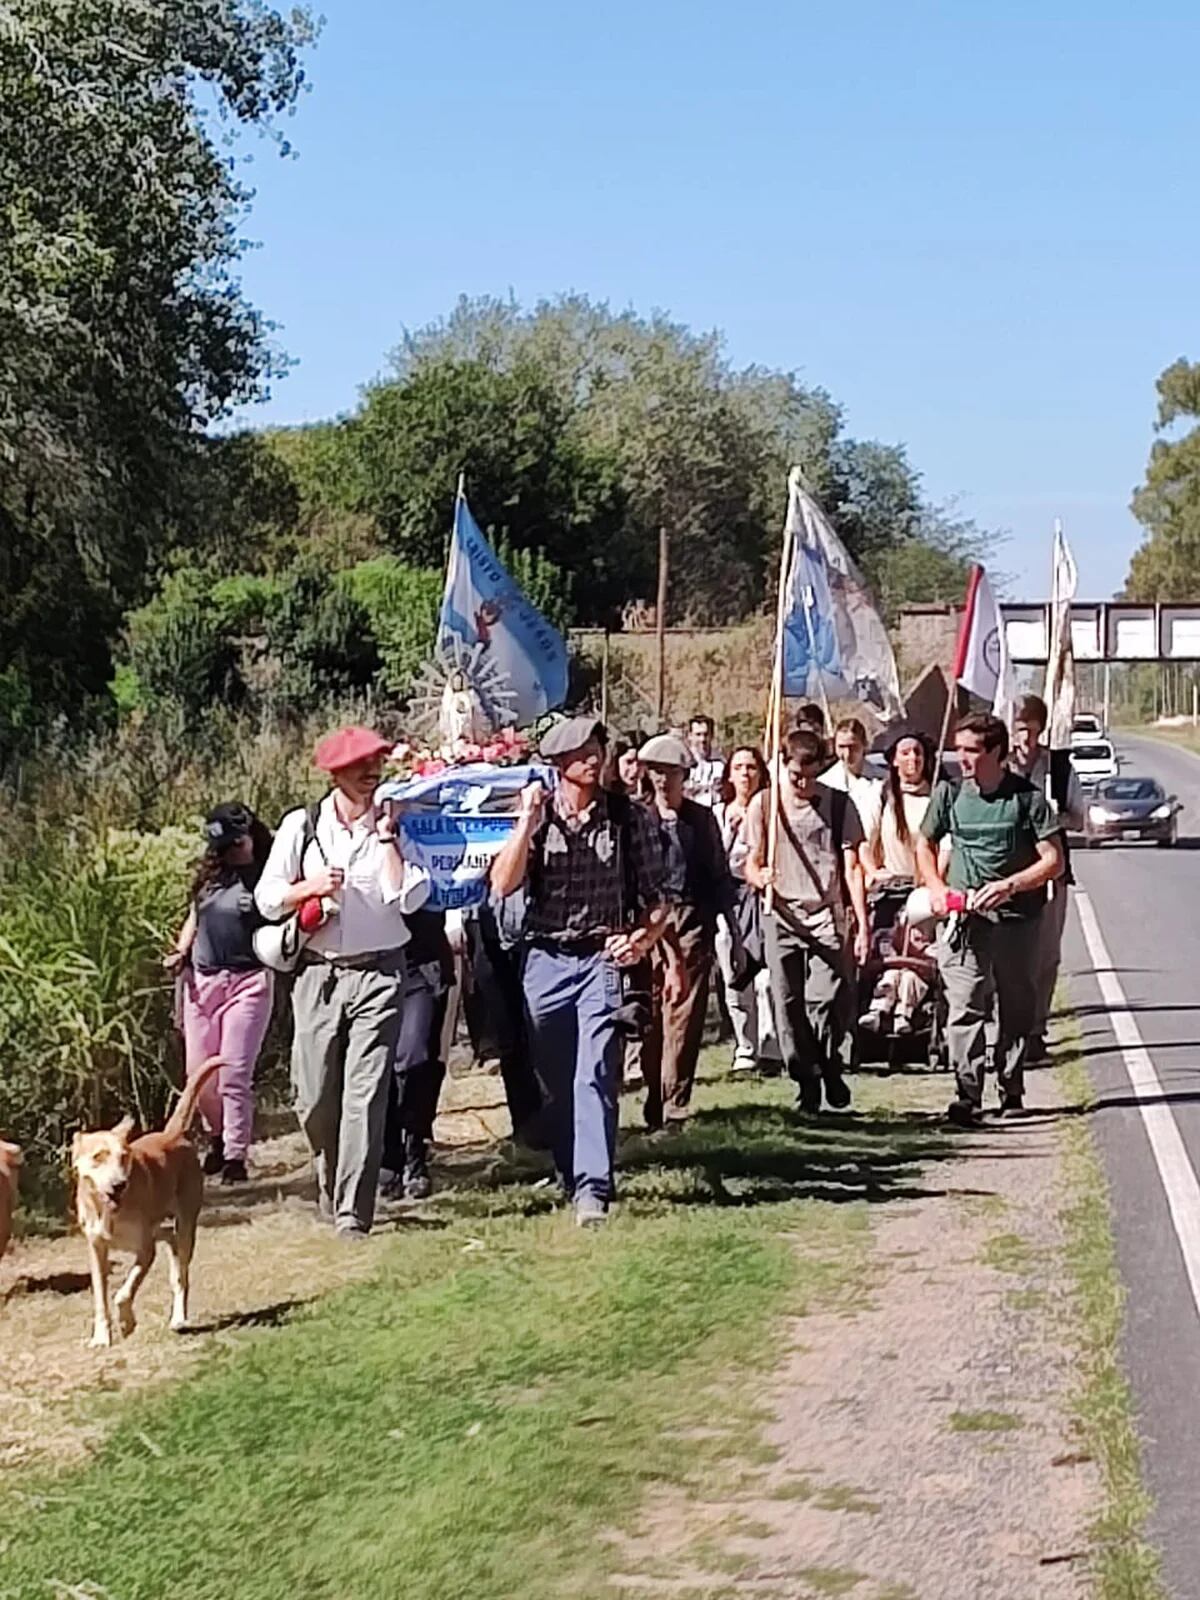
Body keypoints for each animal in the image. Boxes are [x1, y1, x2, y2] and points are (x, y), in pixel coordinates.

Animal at [74, 1062, 224, 1350]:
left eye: (124, 1156)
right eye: (98, 1156)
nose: (119, 1184)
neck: (109, 1212)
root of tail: (171, 1134)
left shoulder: (145, 1251)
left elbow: (123, 1293)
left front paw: (126, 1323)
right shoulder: (96, 1249)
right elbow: (101, 1299)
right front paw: (101, 1336)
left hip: (186, 1224)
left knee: (181, 1276)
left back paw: (178, 1318)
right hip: (161, 1227)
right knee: (169, 1239)